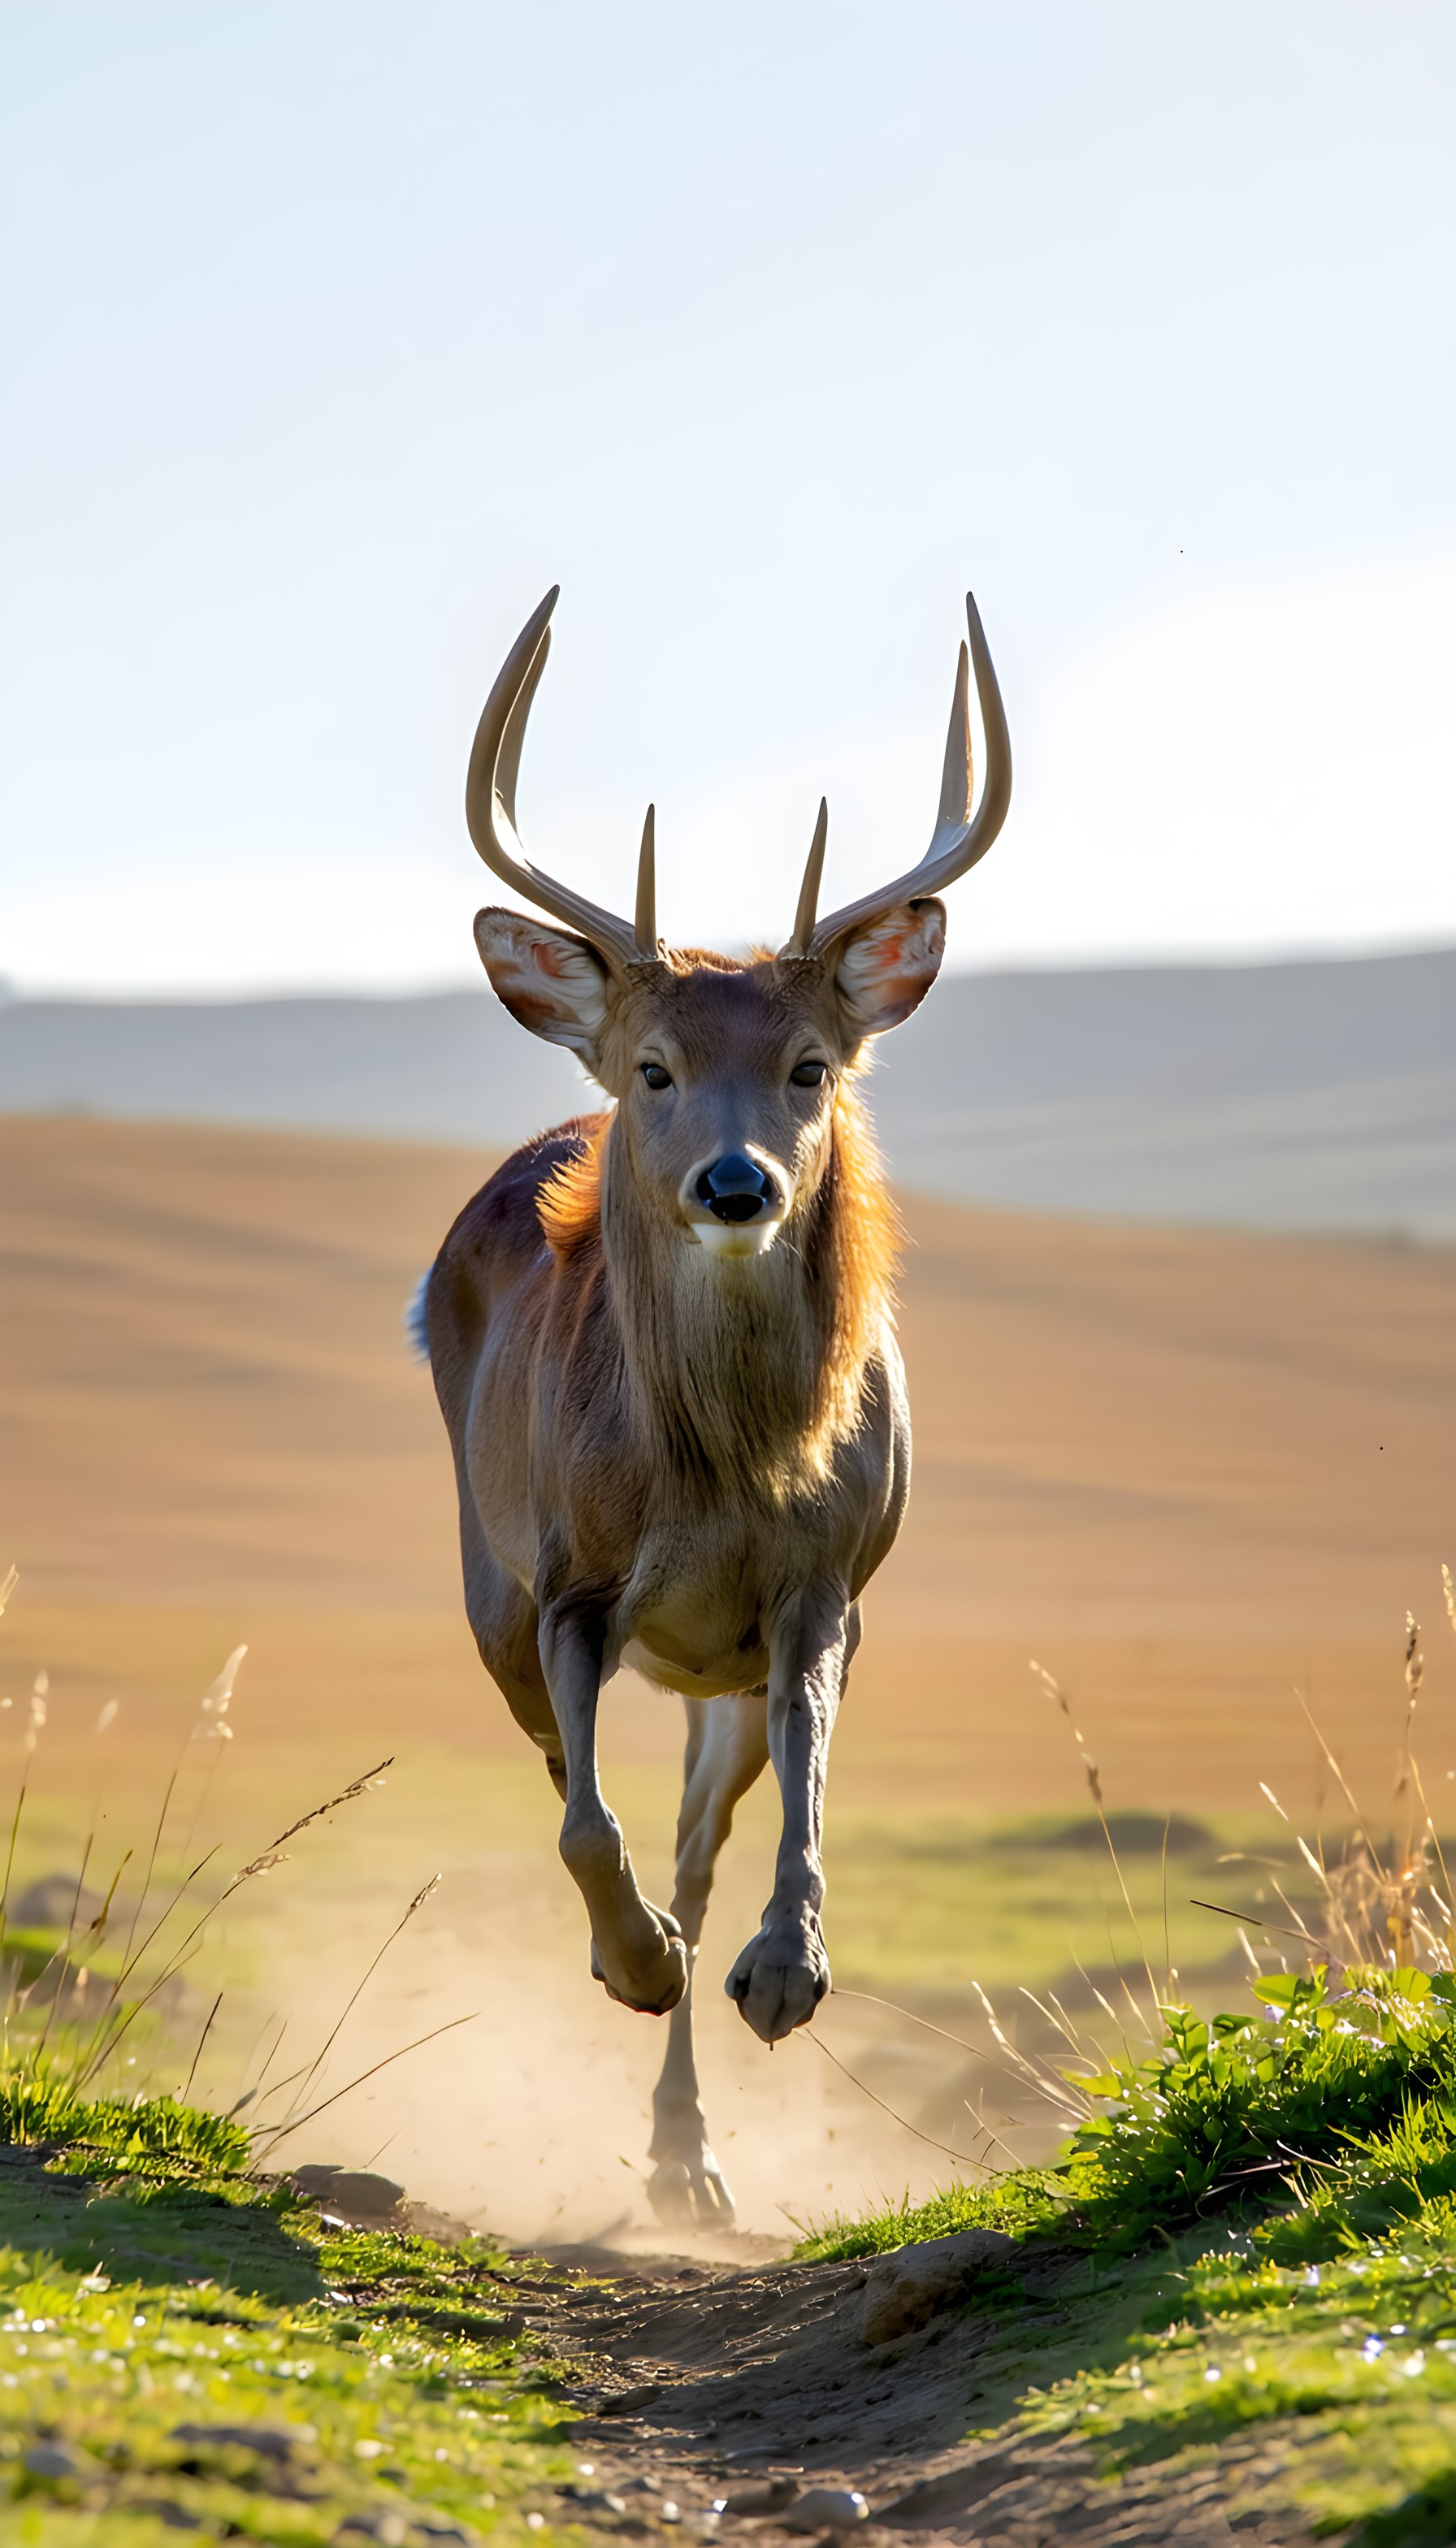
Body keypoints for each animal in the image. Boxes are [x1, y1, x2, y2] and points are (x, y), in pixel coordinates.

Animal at [421, 587, 1010, 2228]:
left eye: (809, 1065)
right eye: (656, 1065)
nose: (736, 1183)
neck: (722, 1477)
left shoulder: (823, 1586)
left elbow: (803, 1796)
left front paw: (782, 1970)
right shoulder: (566, 1584)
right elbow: (581, 1817)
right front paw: (634, 1964)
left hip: (717, 1675)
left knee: (697, 1834)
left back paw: (689, 2151)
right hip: (488, 1588)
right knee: (576, 1785)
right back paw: (649, 1986)